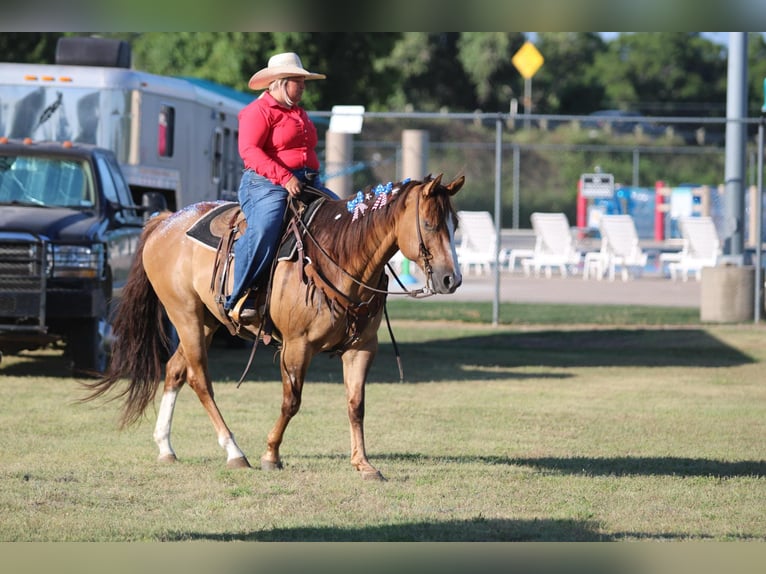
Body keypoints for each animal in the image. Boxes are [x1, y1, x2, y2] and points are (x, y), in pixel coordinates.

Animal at [83, 173, 465, 480]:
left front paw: (363, 464)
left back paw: (165, 446)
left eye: (455, 226)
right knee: (199, 378)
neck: (340, 257)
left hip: (206, 320)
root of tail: (165, 221)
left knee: (176, 370)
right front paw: (271, 454)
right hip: (184, 314)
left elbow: (356, 404)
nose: (453, 279)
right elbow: (291, 402)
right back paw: (234, 451)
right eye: (429, 224)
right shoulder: (297, 345)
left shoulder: (362, 348)